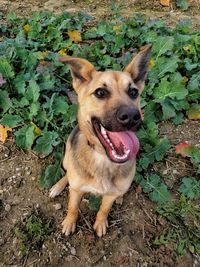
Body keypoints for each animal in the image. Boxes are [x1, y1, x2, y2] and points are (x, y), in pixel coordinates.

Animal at [49, 45, 152, 238]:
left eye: (133, 92)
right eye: (100, 92)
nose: (132, 116)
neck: (103, 159)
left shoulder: (108, 196)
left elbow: (104, 209)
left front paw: (100, 223)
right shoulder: (76, 191)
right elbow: (72, 208)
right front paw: (69, 222)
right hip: (67, 160)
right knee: (67, 175)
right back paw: (58, 186)